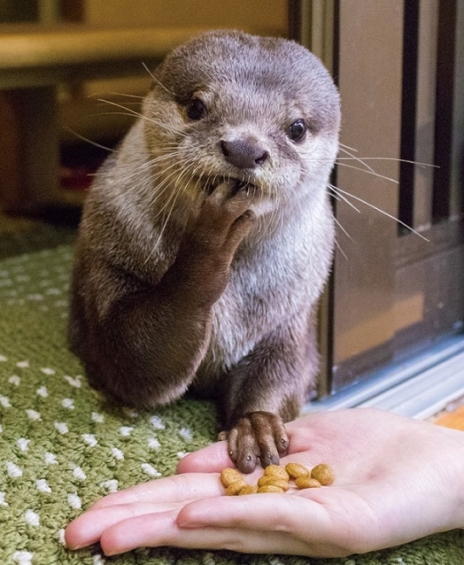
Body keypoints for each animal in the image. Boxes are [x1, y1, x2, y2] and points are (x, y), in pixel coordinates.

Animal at [70, 30, 342, 472]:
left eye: (297, 127)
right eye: (197, 106)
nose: (245, 149)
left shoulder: (292, 314)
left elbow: (283, 372)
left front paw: (257, 425)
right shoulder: (109, 260)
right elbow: (135, 357)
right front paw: (212, 238)